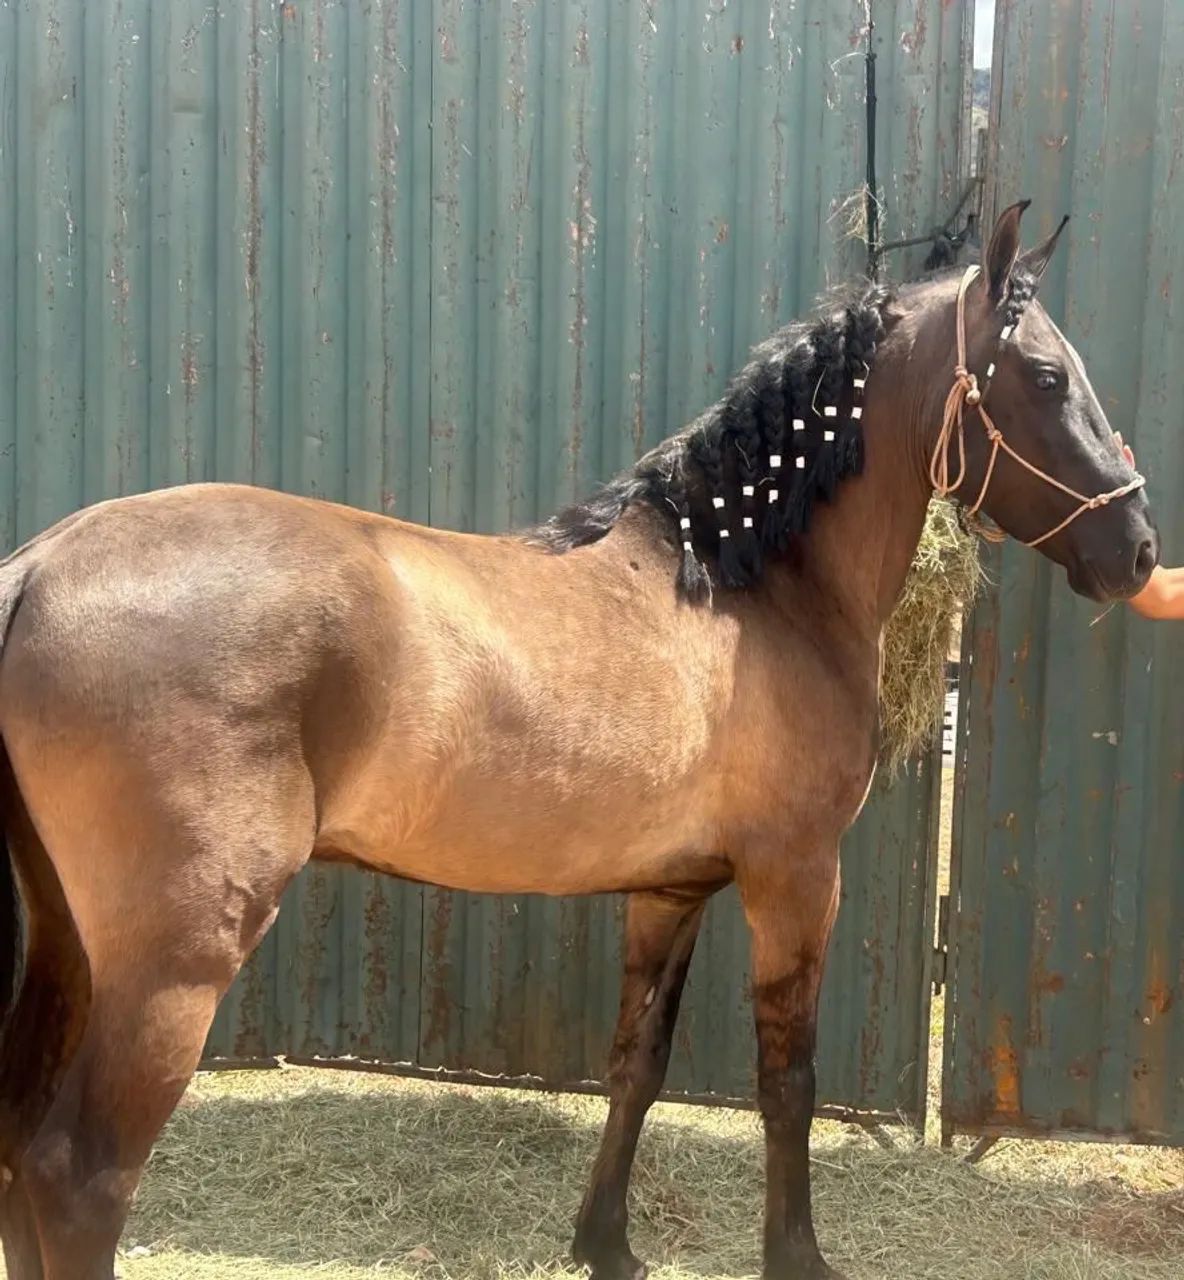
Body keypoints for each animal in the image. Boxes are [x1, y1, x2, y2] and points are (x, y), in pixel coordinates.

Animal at [0, 200, 1158, 1280]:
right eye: (1047, 376)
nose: (1137, 547)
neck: (745, 582)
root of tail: (40, 564)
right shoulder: (794, 877)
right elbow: (787, 1079)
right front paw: (796, 1253)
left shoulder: (671, 889)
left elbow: (634, 1062)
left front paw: (605, 1241)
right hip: (172, 963)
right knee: (80, 1173)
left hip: (65, 933)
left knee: (20, 1142)